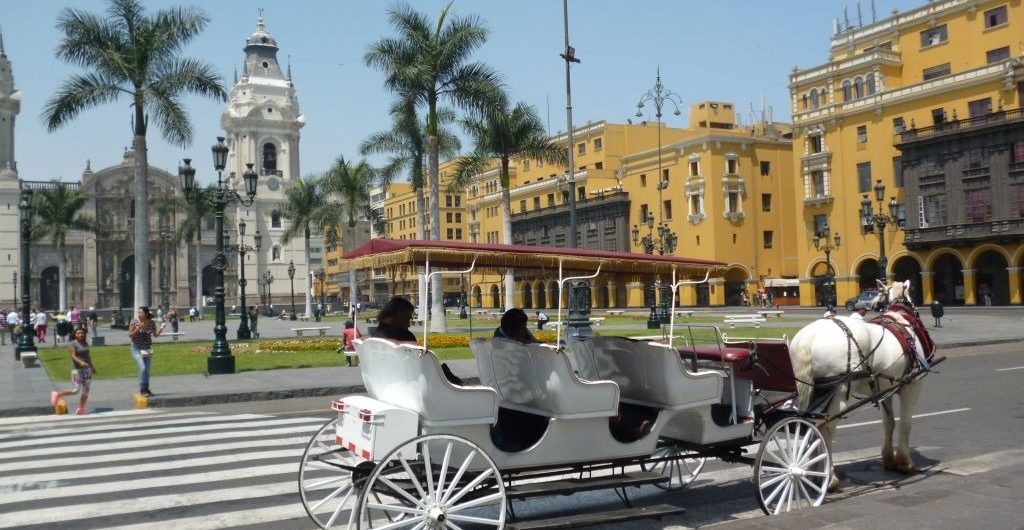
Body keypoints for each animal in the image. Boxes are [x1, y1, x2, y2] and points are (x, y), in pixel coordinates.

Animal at [790, 280, 937, 489]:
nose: (871, 305)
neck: (902, 320)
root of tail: (808, 337)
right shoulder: (911, 386)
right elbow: (905, 423)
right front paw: (904, 461)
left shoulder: (885, 389)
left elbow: (889, 423)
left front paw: (889, 458)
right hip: (837, 393)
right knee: (824, 429)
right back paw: (829, 477)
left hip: (812, 392)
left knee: (809, 425)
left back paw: (812, 471)